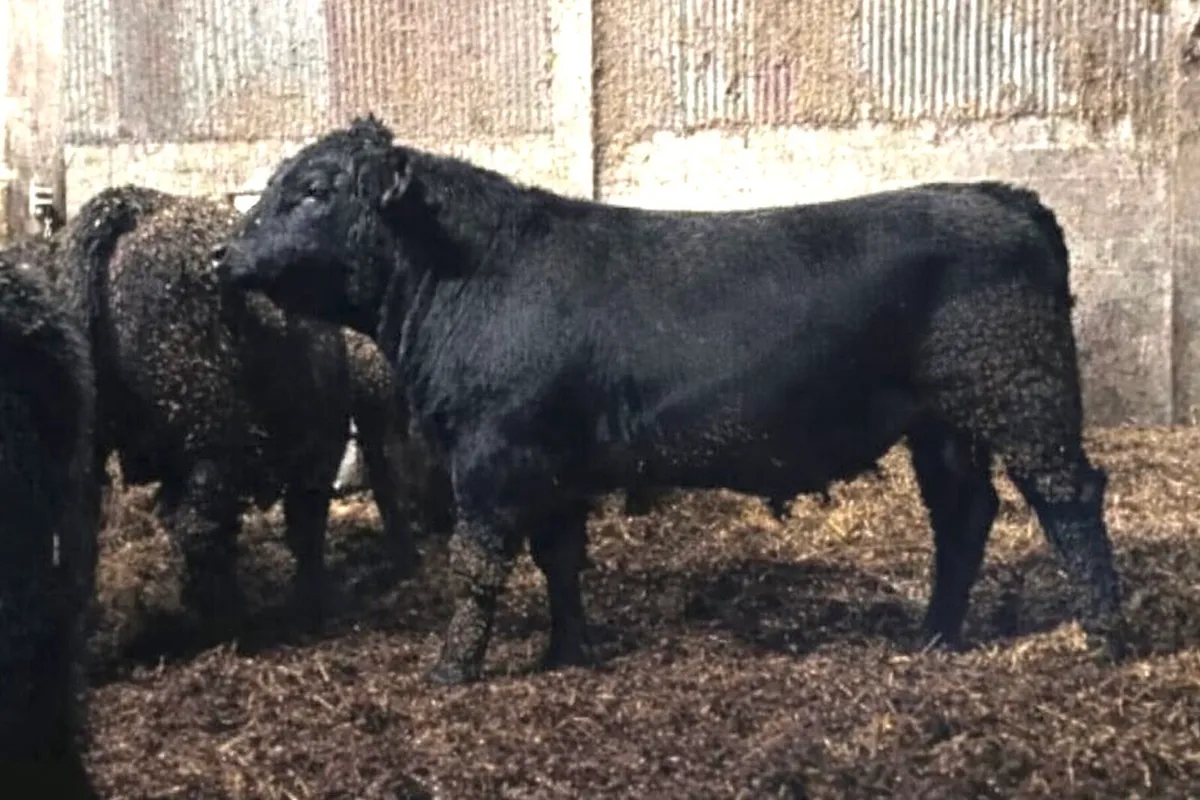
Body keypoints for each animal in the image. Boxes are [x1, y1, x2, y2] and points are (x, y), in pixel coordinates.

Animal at [213, 115, 1127, 685]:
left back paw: (1107, 641)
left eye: (313, 189)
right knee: (964, 514)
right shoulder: (556, 460)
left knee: (1070, 498)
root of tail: (1001, 194)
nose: (226, 252)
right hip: (941, 424)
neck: (461, 278)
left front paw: (450, 671)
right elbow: (560, 558)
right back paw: (935, 638)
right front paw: (568, 652)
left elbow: (477, 565)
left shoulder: (495, 451)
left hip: (1022, 396)